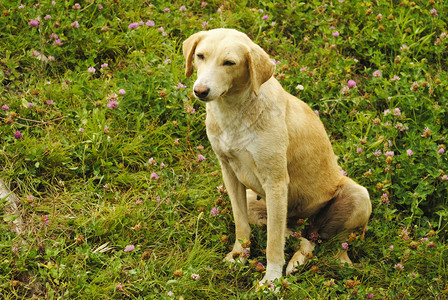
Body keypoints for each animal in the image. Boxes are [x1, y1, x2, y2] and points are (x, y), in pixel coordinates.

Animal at [181, 29, 372, 288]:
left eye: (229, 63)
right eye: (200, 56)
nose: (200, 91)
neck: (235, 111)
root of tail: (307, 223)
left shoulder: (276, 182)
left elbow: (272, 244)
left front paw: (271, 281)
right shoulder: (230, 174)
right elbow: (241, 226)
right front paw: (239, 257)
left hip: (358, 197)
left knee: (336, 246)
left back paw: (331, 264)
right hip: (260, 205)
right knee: (303, 239)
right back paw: (298, 260)